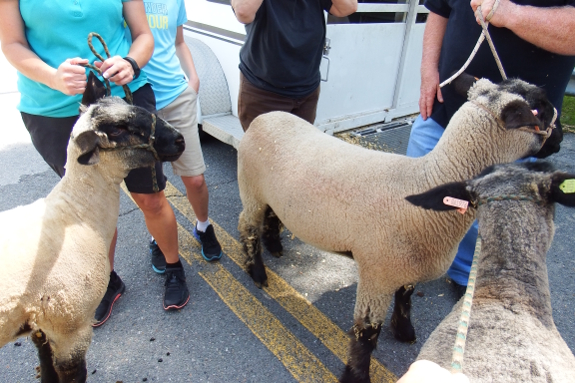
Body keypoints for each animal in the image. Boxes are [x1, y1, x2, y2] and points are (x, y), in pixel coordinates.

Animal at [0, 75, 184, 383]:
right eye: (121, 129)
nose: (180, 139)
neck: (77, 213)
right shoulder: (70, 327)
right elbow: (68, 373)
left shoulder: (41, 325)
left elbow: (46, 366)